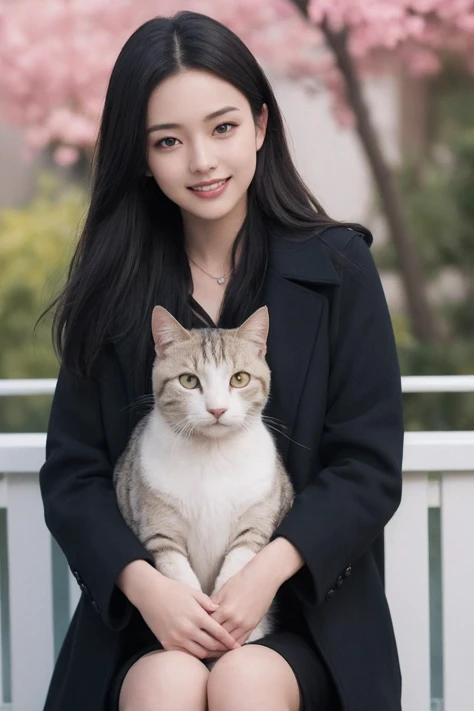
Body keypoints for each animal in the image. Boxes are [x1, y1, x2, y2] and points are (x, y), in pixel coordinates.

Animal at [113, 304, 294, 644]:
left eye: (239, 378)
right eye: (188, 380)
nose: (217, 410)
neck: (212, 454)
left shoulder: (257, 522)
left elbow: (237, 568)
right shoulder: (160, 530)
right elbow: (180, 578)